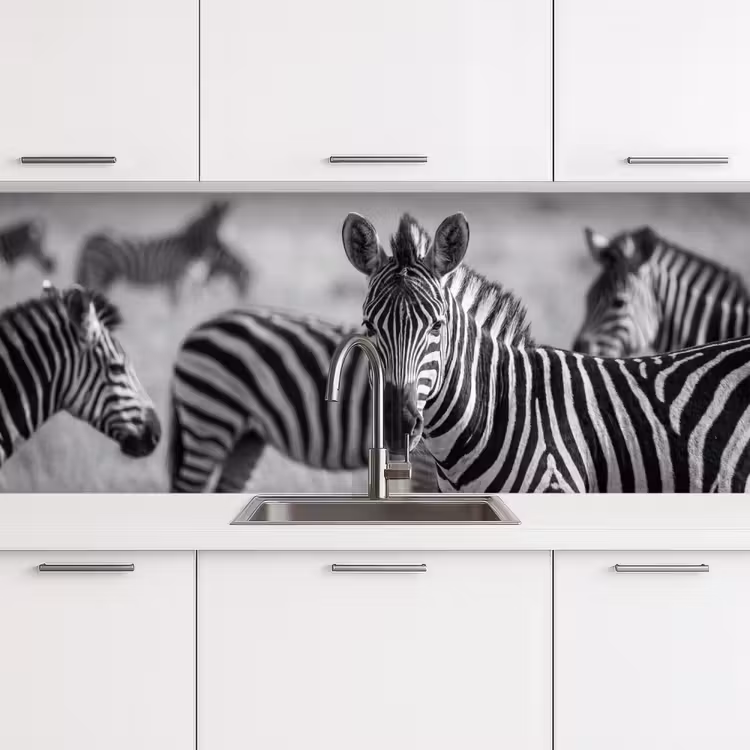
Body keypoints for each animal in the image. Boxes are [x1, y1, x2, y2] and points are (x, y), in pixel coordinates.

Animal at [74, 201, 250, 301]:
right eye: (217, 230)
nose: (225, 248)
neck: (187, 245)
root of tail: (90, 239)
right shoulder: (175, 278)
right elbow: (176, 305)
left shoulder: (179, 280)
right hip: (97, 272)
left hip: (107, 276)